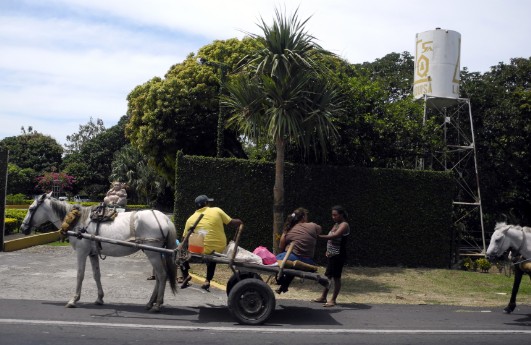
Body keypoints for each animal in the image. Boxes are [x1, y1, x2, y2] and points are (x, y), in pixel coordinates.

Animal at [20, 192, 179, 310]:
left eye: (31, 209)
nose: (23, 228)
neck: (77, 221)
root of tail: (164, 218)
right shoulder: (93, 254)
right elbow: (97, 275)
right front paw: (99, 298)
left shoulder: (82, 252)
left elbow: (80, 275)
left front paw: (74, 299)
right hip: (153, 252)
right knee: (158, 276)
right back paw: (151, 302)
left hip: (153, 253)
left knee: (162, 275)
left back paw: (157, 304)